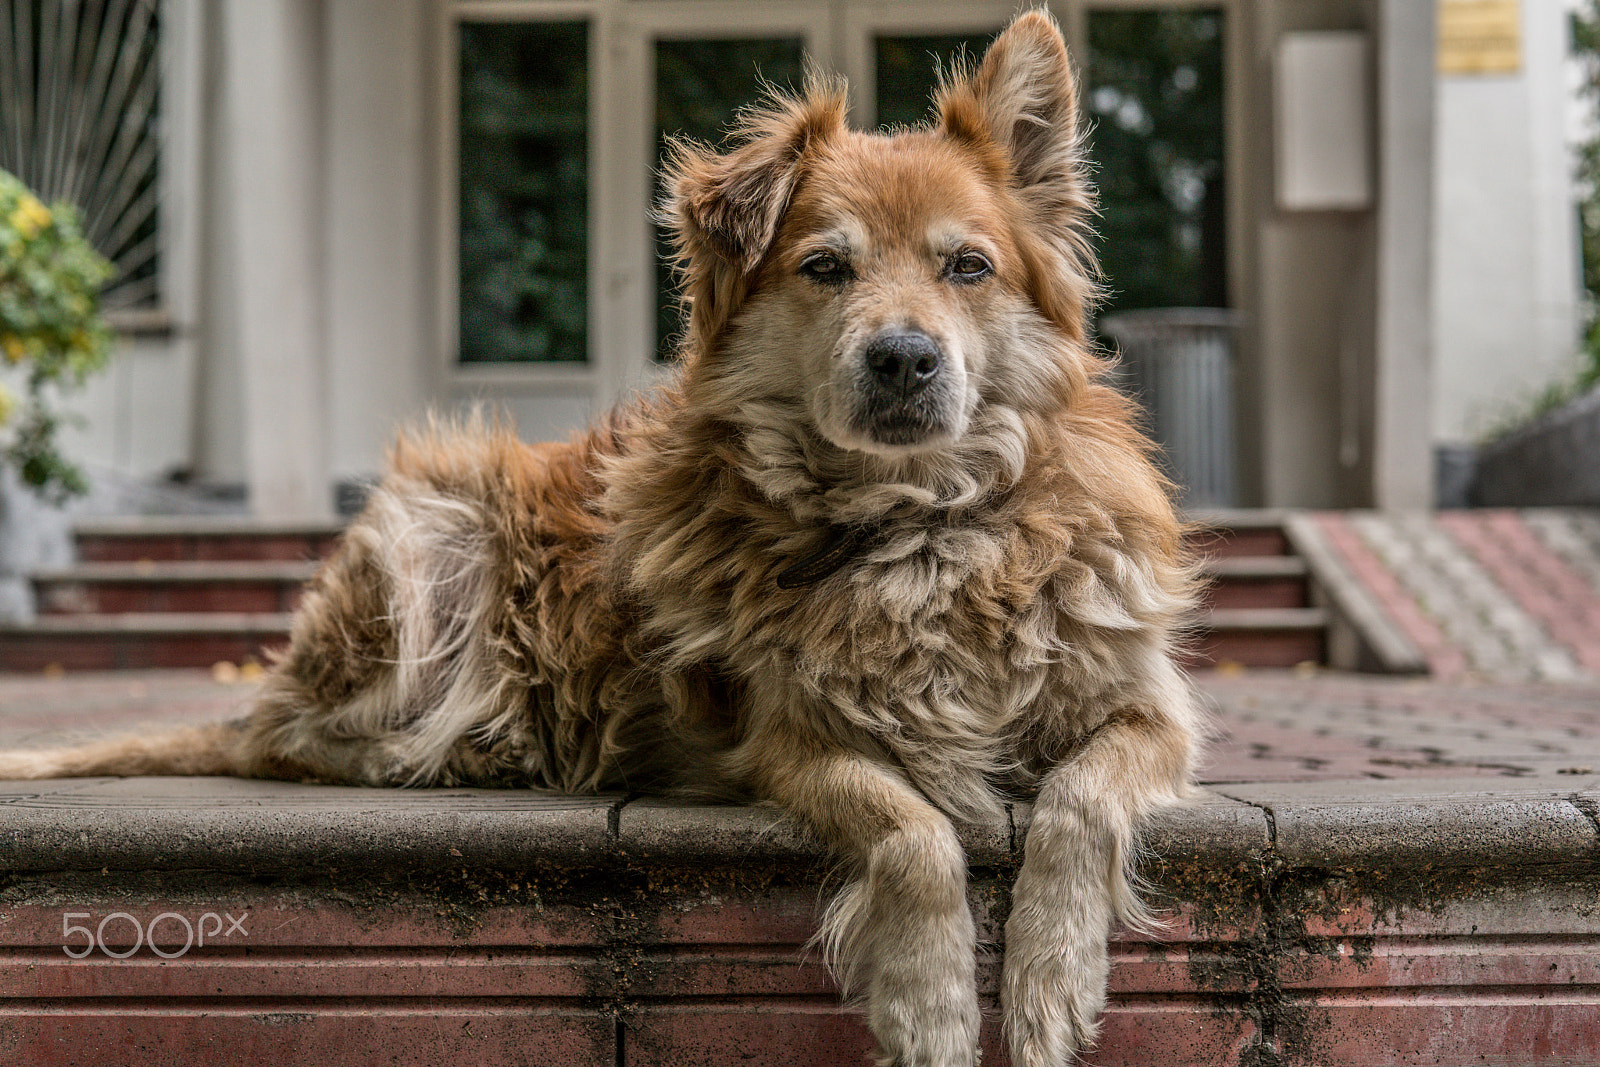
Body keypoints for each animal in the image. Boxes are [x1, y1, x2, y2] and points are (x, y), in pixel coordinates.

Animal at [0, 12, 1203, 1062]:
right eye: (824, 267)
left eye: (968, 267)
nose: (903, 357)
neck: (919, 517)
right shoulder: (782, 734)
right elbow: (910, 831)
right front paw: (933, 1005)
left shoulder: (1146, 707)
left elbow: (1081, 799)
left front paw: (1050, 979)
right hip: (434, 523)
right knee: (292, 738)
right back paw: (453, 745)